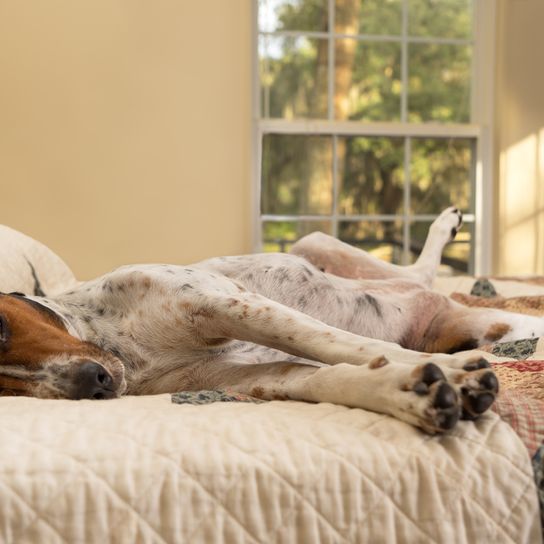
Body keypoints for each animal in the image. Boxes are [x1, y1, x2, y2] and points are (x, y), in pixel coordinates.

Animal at [0, 208, 540, 434]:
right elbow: (333, 376)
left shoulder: (229, 304)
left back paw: (445, 227)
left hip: (313, 242)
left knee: (416, 272)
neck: (122, 348)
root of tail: (441, 307)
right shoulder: (247, 379)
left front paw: (450, 370)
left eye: (1, 329)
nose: (93, 383)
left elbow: (341, 345)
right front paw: (412, 390)